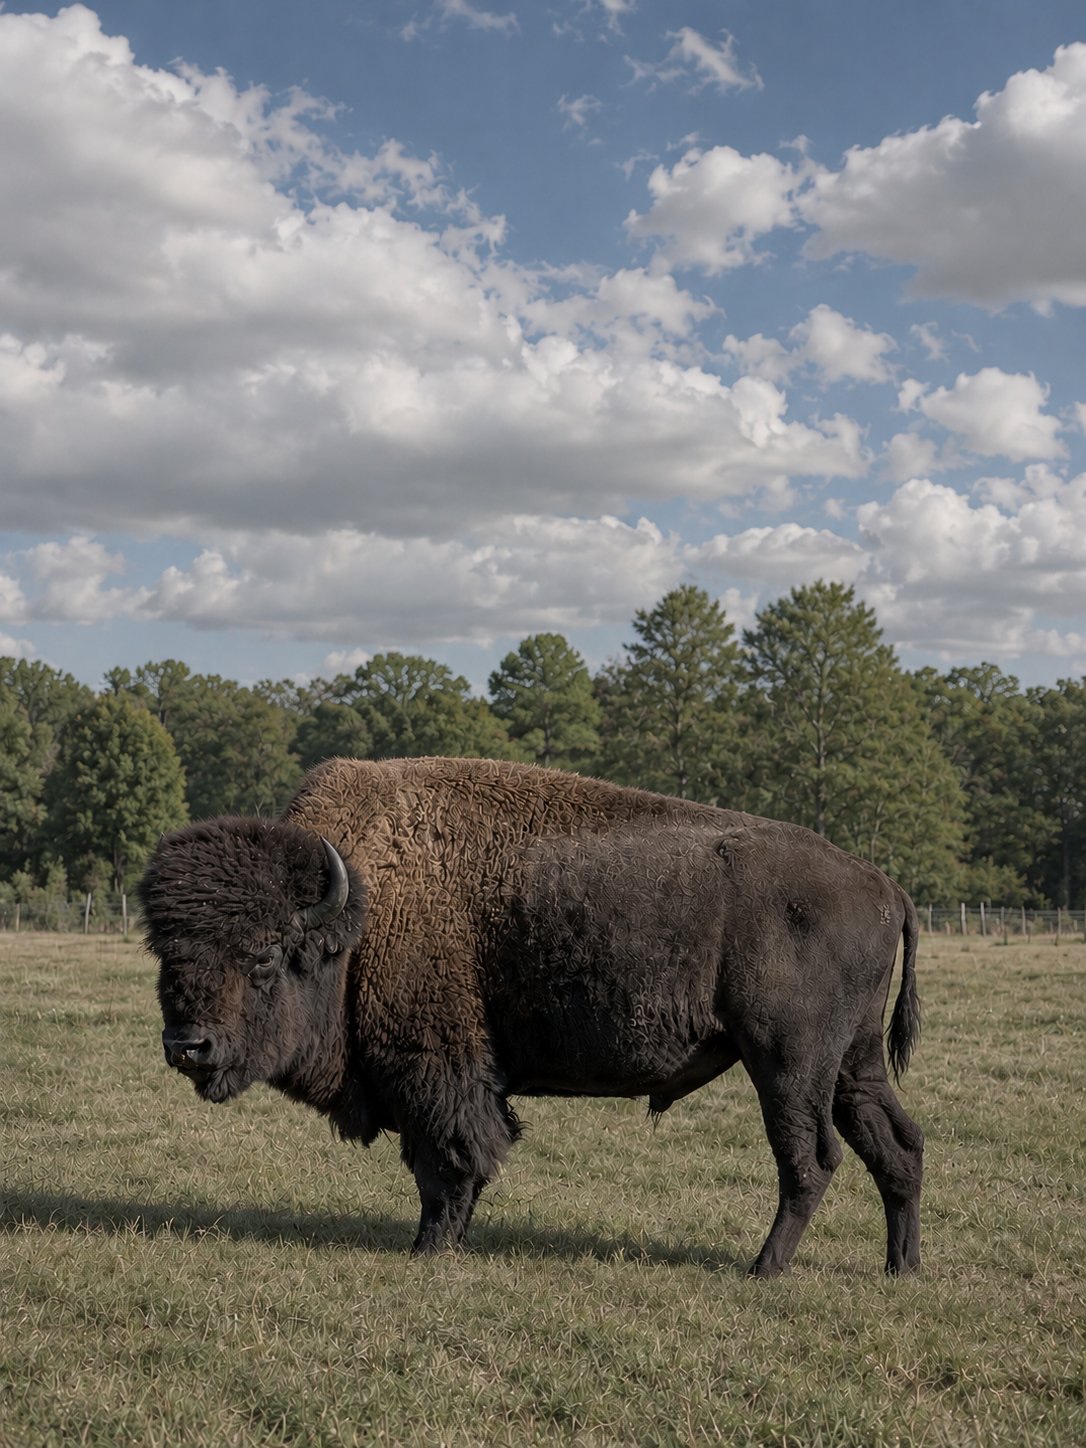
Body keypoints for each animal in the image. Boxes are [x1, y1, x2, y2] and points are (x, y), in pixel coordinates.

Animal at [138, 756, 923, 1276]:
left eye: (265, 956)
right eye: (164, 951)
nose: (188, 1045)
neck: (360, 913)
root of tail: (883, 884)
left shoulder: (435, 1071)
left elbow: (449, 1162)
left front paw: (429, 1251)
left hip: (787, 1065)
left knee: (810, 1159)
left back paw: (764, 1269)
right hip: (852, 1063)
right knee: (898, 1146)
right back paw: (901, 1269)